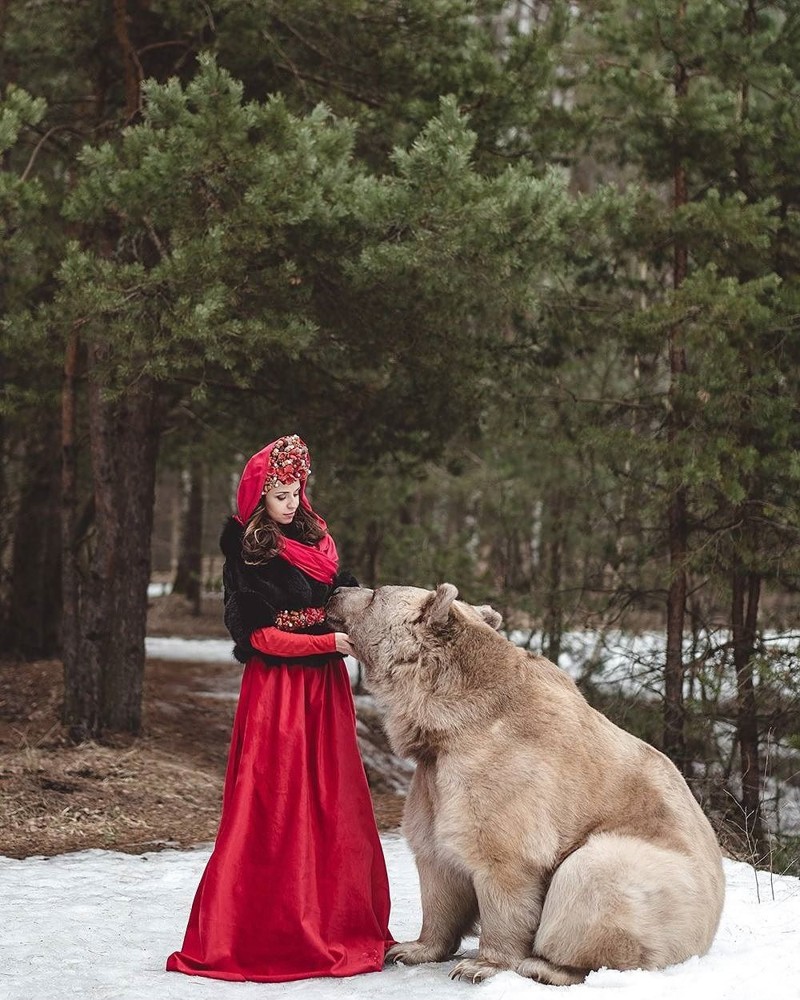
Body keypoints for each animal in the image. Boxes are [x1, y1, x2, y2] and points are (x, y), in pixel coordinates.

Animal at [324, 584, 724, 984]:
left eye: (375, 593)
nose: (337, 590)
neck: (451, 719)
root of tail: (706, 936)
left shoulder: (505, 767)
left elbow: (503, 861)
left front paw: (480, 965)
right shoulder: (433, 777)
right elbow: (436, 861)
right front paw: (410, 949)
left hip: (659, 881)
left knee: (593, 880)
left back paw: (545, 965)